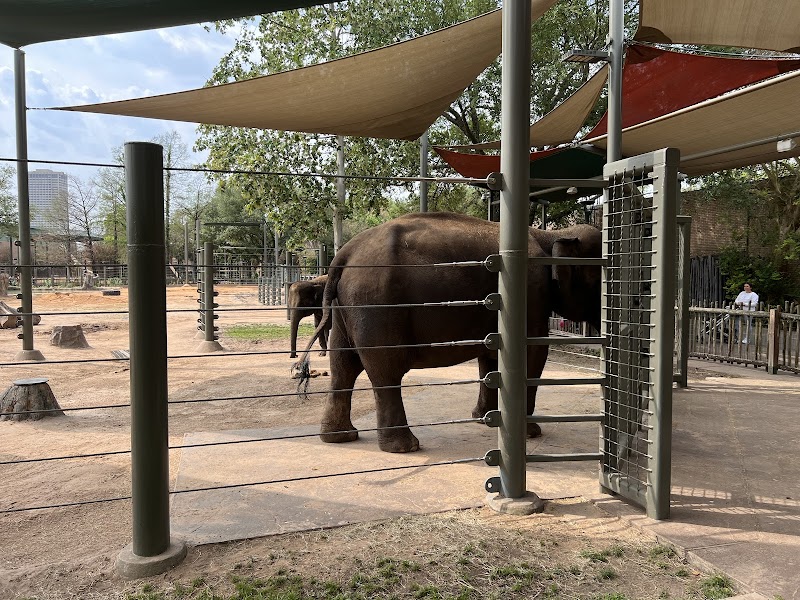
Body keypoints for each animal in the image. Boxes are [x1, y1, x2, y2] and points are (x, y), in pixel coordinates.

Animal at [295, 212, 602, 453]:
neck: (549, 234)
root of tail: (343, 254)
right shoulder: (531, 293)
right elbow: (533, 353)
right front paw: (531, 433)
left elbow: (492, 354)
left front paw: (485, 419)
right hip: (376, 305)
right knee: (385, 372)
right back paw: (405, 447)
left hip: (344, 308)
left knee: (343, 366)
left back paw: (340, 438)